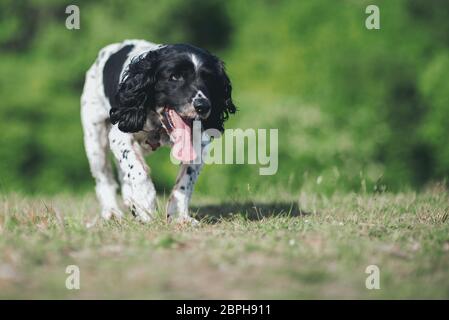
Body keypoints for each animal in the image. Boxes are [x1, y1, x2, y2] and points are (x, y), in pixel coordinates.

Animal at [80, 40, 234, 224]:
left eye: (208, 78)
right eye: (174, 77)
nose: (203, 106)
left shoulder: (199, 144)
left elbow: (186, 181)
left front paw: (179, 215)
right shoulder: (119, 135)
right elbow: (137, 170)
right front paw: (145, 204)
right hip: (95, 139)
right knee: (104, 179)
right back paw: (111, 211)